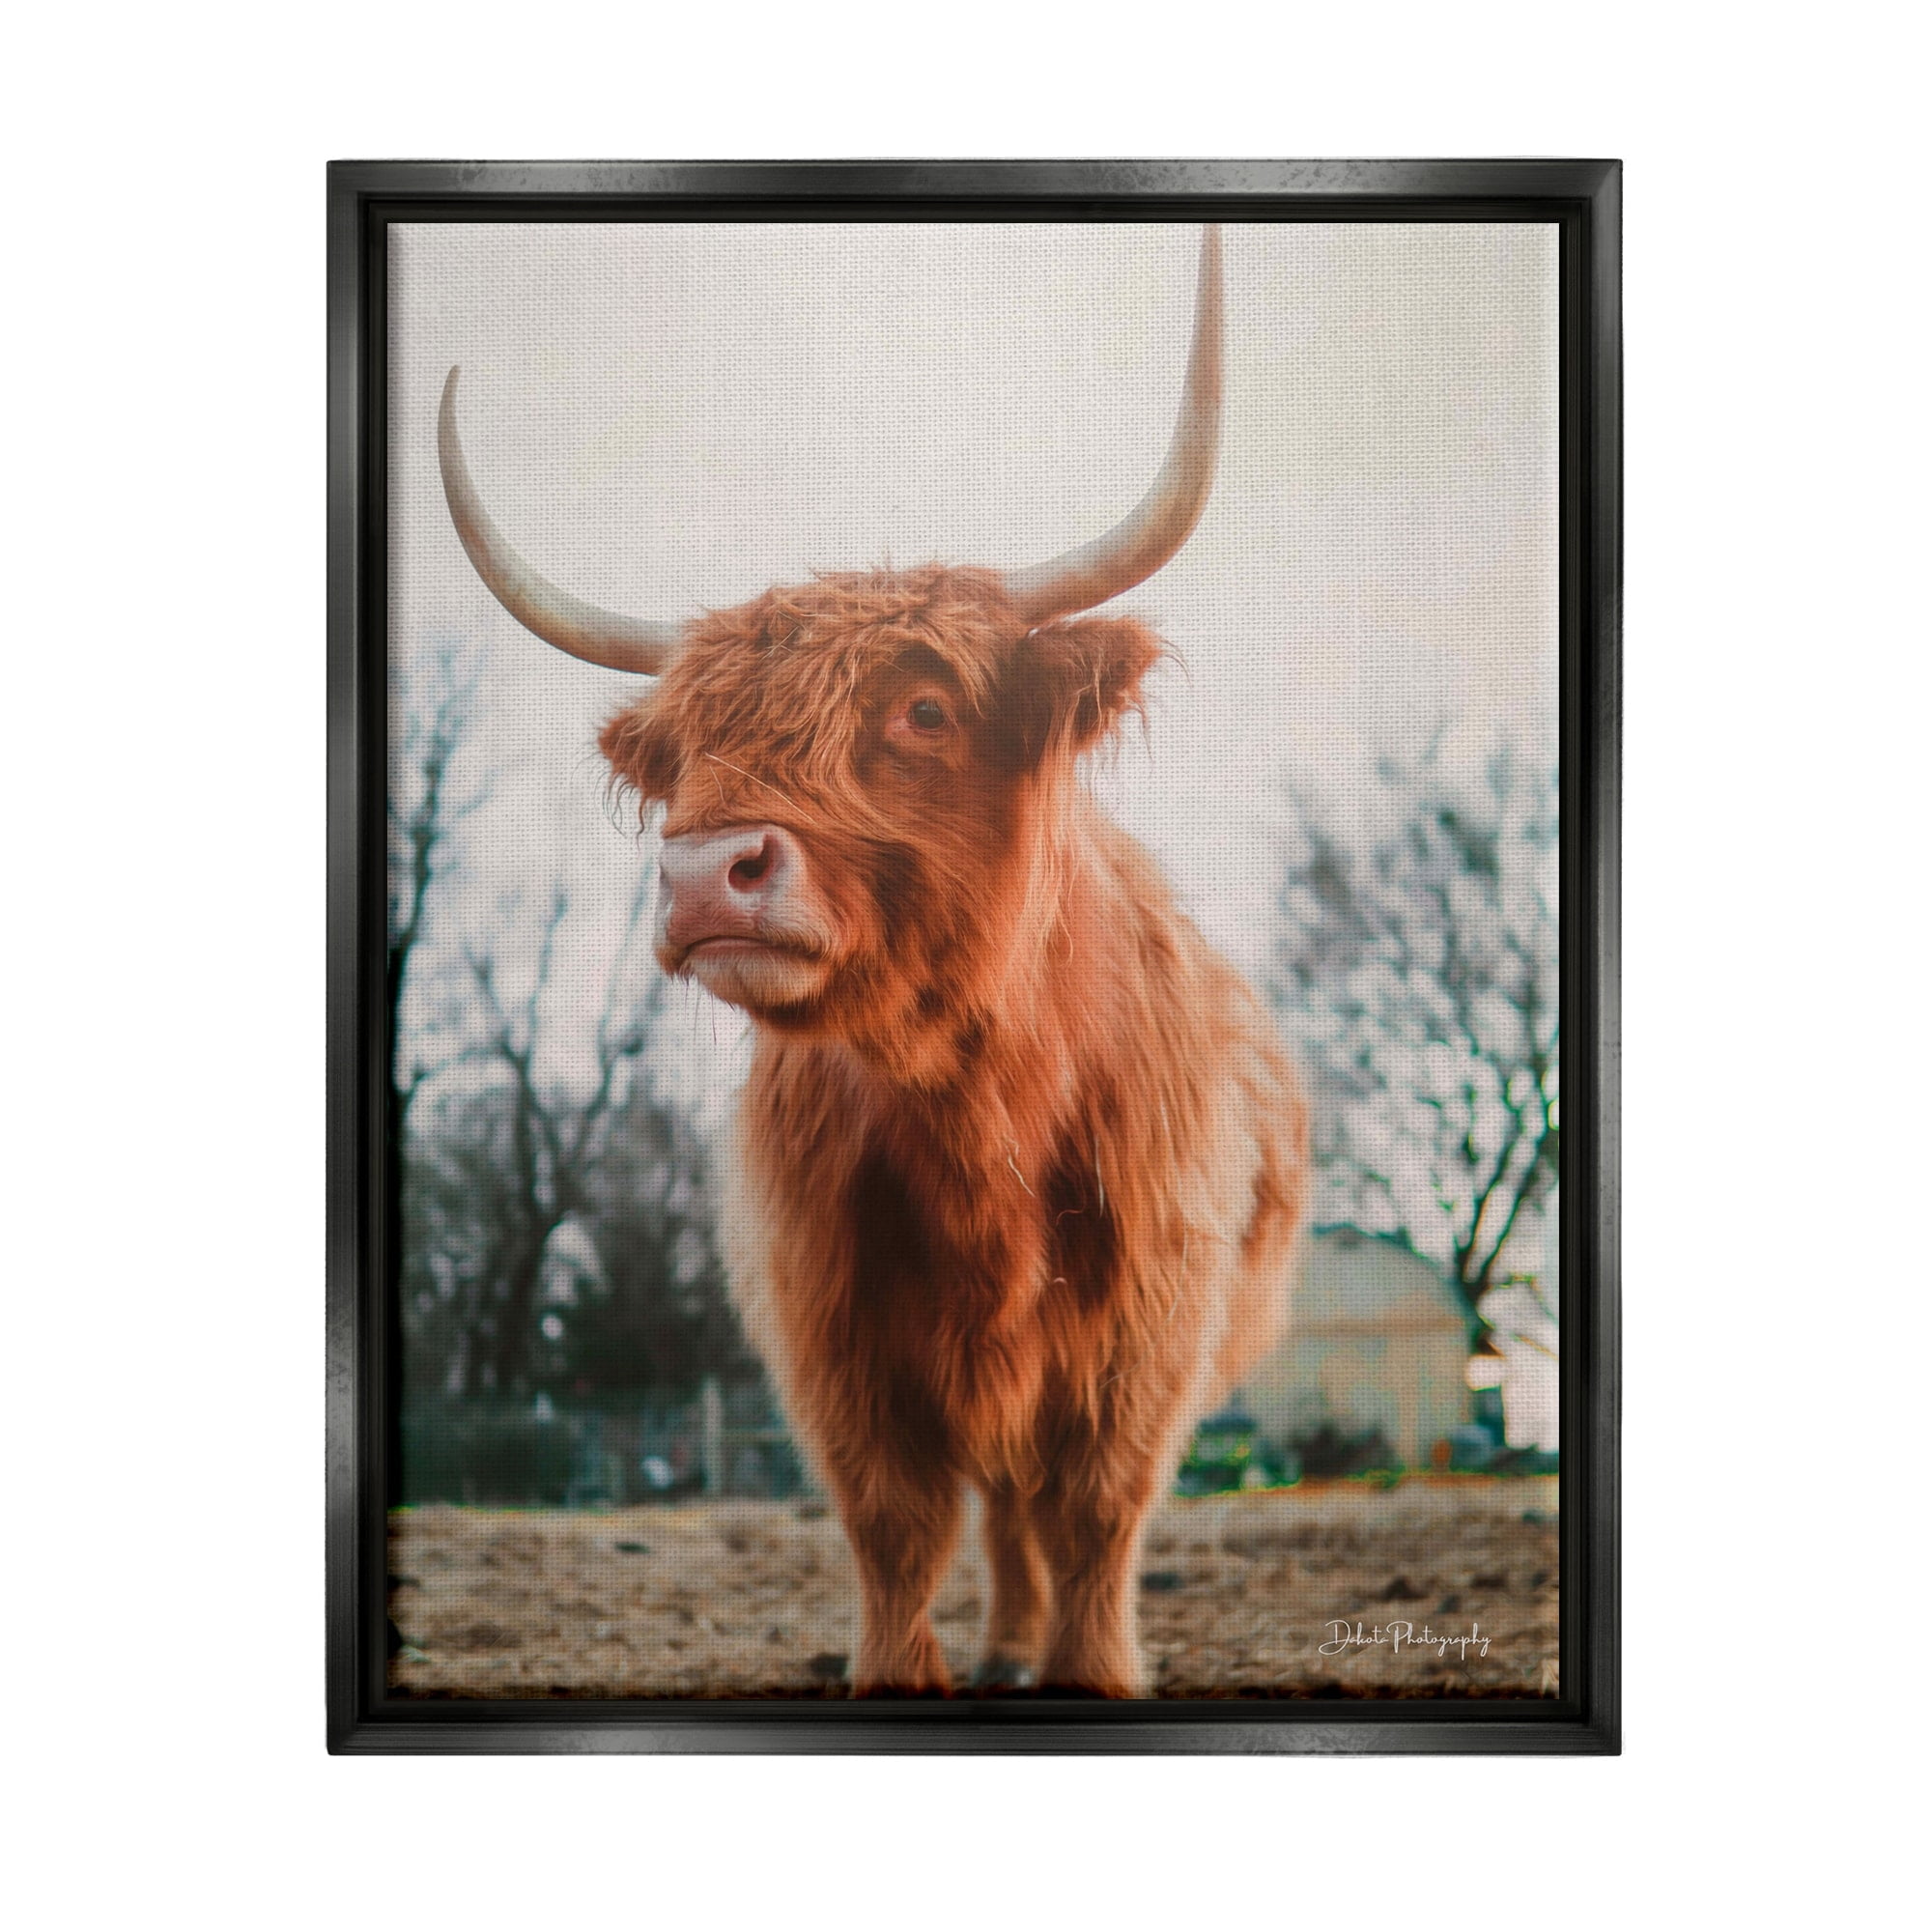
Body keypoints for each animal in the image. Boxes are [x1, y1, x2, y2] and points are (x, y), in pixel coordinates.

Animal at [437, 226, 1308, 1697]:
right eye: (684, 746)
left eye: (925, 708)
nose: (702, 871)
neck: (980, 1121)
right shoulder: (830, 1330)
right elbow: (895, 1521)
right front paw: (903, 1673)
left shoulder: (1146, 1330)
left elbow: (1095, 1512)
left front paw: (1086, 1672)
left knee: (1028, 1507)